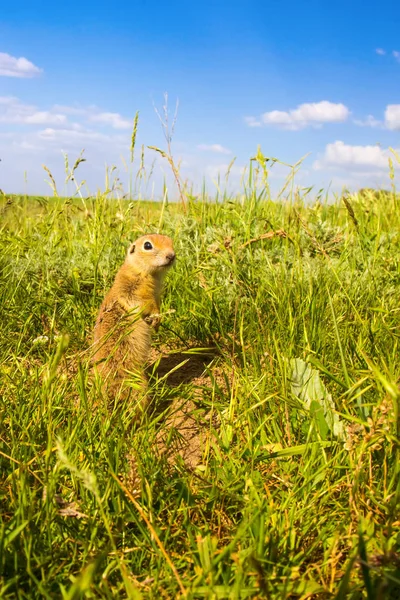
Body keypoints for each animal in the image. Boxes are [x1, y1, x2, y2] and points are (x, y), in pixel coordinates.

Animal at [94, 233, 177, 408]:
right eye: (147, 245)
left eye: (170, 241)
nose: (171, 255)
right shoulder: (133, 289)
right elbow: (142, 304)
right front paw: (155, 320)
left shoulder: (156, 295)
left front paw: (157, 324)